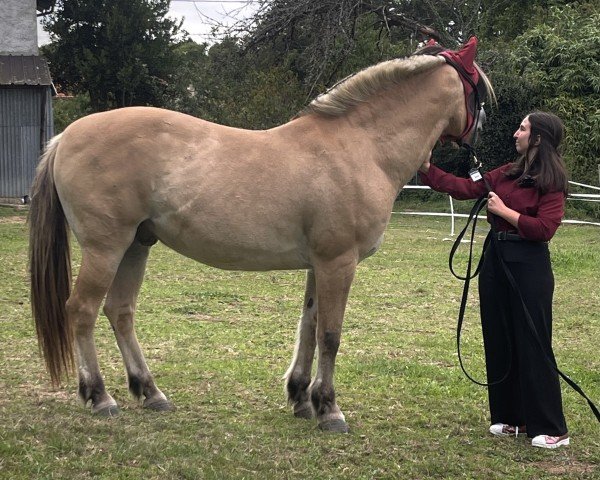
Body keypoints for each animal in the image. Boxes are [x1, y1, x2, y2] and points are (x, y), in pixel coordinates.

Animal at [29, 37, 492, 432]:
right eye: (479, 94)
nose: (481, 135)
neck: (358, 146)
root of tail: (65, 137)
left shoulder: (320, 264)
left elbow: (309, 326)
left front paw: (302, 398)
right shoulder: (338, 262)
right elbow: (330, 335)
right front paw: (329, 409)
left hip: (135, 246)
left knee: (120, 312)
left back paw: (150, 392)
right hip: (105, 248)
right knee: (82, 311)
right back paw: (99, 396)